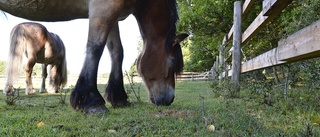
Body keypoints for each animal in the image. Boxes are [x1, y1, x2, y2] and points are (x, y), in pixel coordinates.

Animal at [0, 0, 188, 113]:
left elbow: (117, 52)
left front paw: (118, 97)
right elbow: (96, 47)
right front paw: (91, 101)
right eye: (172, 63)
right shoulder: (103, 8)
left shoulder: (113, 14)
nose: (169, 99)